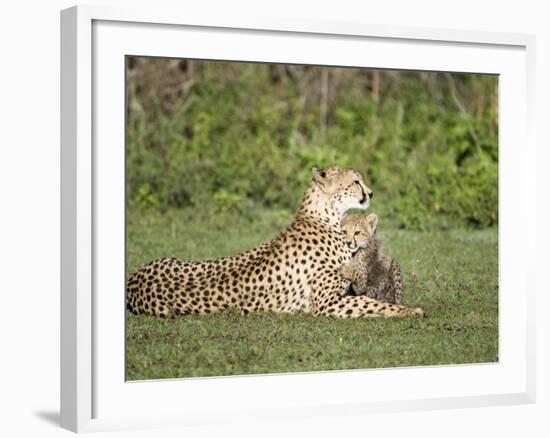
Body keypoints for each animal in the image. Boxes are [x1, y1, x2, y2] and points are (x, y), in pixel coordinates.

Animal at [127, 167, 424, 318]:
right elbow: (375, 305)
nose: (370, 193)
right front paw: (410, 310)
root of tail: (133, 282)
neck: (323, 216)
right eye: (355, 182)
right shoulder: (326, 303)